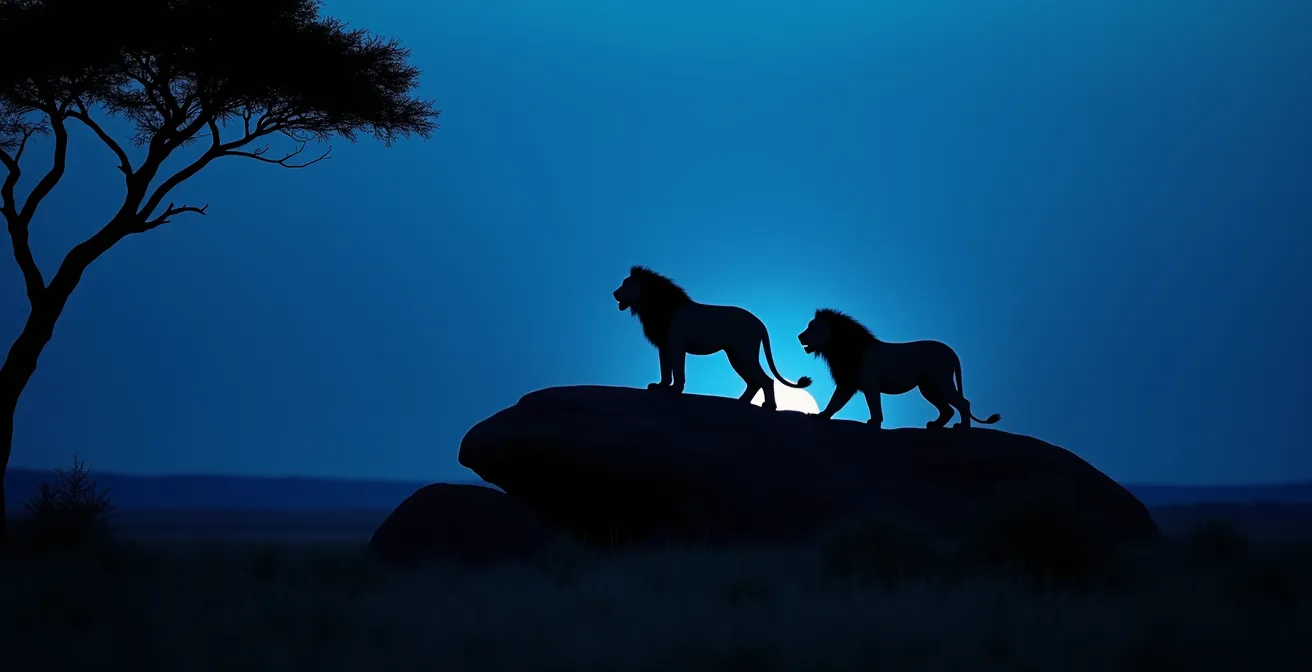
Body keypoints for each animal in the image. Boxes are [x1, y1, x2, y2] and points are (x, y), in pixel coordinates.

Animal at [613, 266, 812, 410]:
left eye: (626, 284)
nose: (614, 293)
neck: (654, 306)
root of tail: (759, 323)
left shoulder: (676, 344)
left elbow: (677, 371)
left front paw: (675, 391)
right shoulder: (664, 345)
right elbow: (665, 370)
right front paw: (661, 387)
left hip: (743, 353)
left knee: (765, 380)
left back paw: (768, 406)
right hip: (735, 354)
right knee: (754, 382)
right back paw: (741, 402)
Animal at [797, 308, 1001, 429]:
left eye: (812, 327)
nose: (799, 336)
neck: (839, 348)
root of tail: (953, 354)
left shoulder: (870, 384)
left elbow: (874, 405)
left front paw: (874, 423)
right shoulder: (847, 383)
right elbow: (835, 403)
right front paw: (820, 416)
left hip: (939, 381)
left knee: (964, 403)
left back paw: (964, 428)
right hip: (928, 387)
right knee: (948, 409)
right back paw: (935, 425)